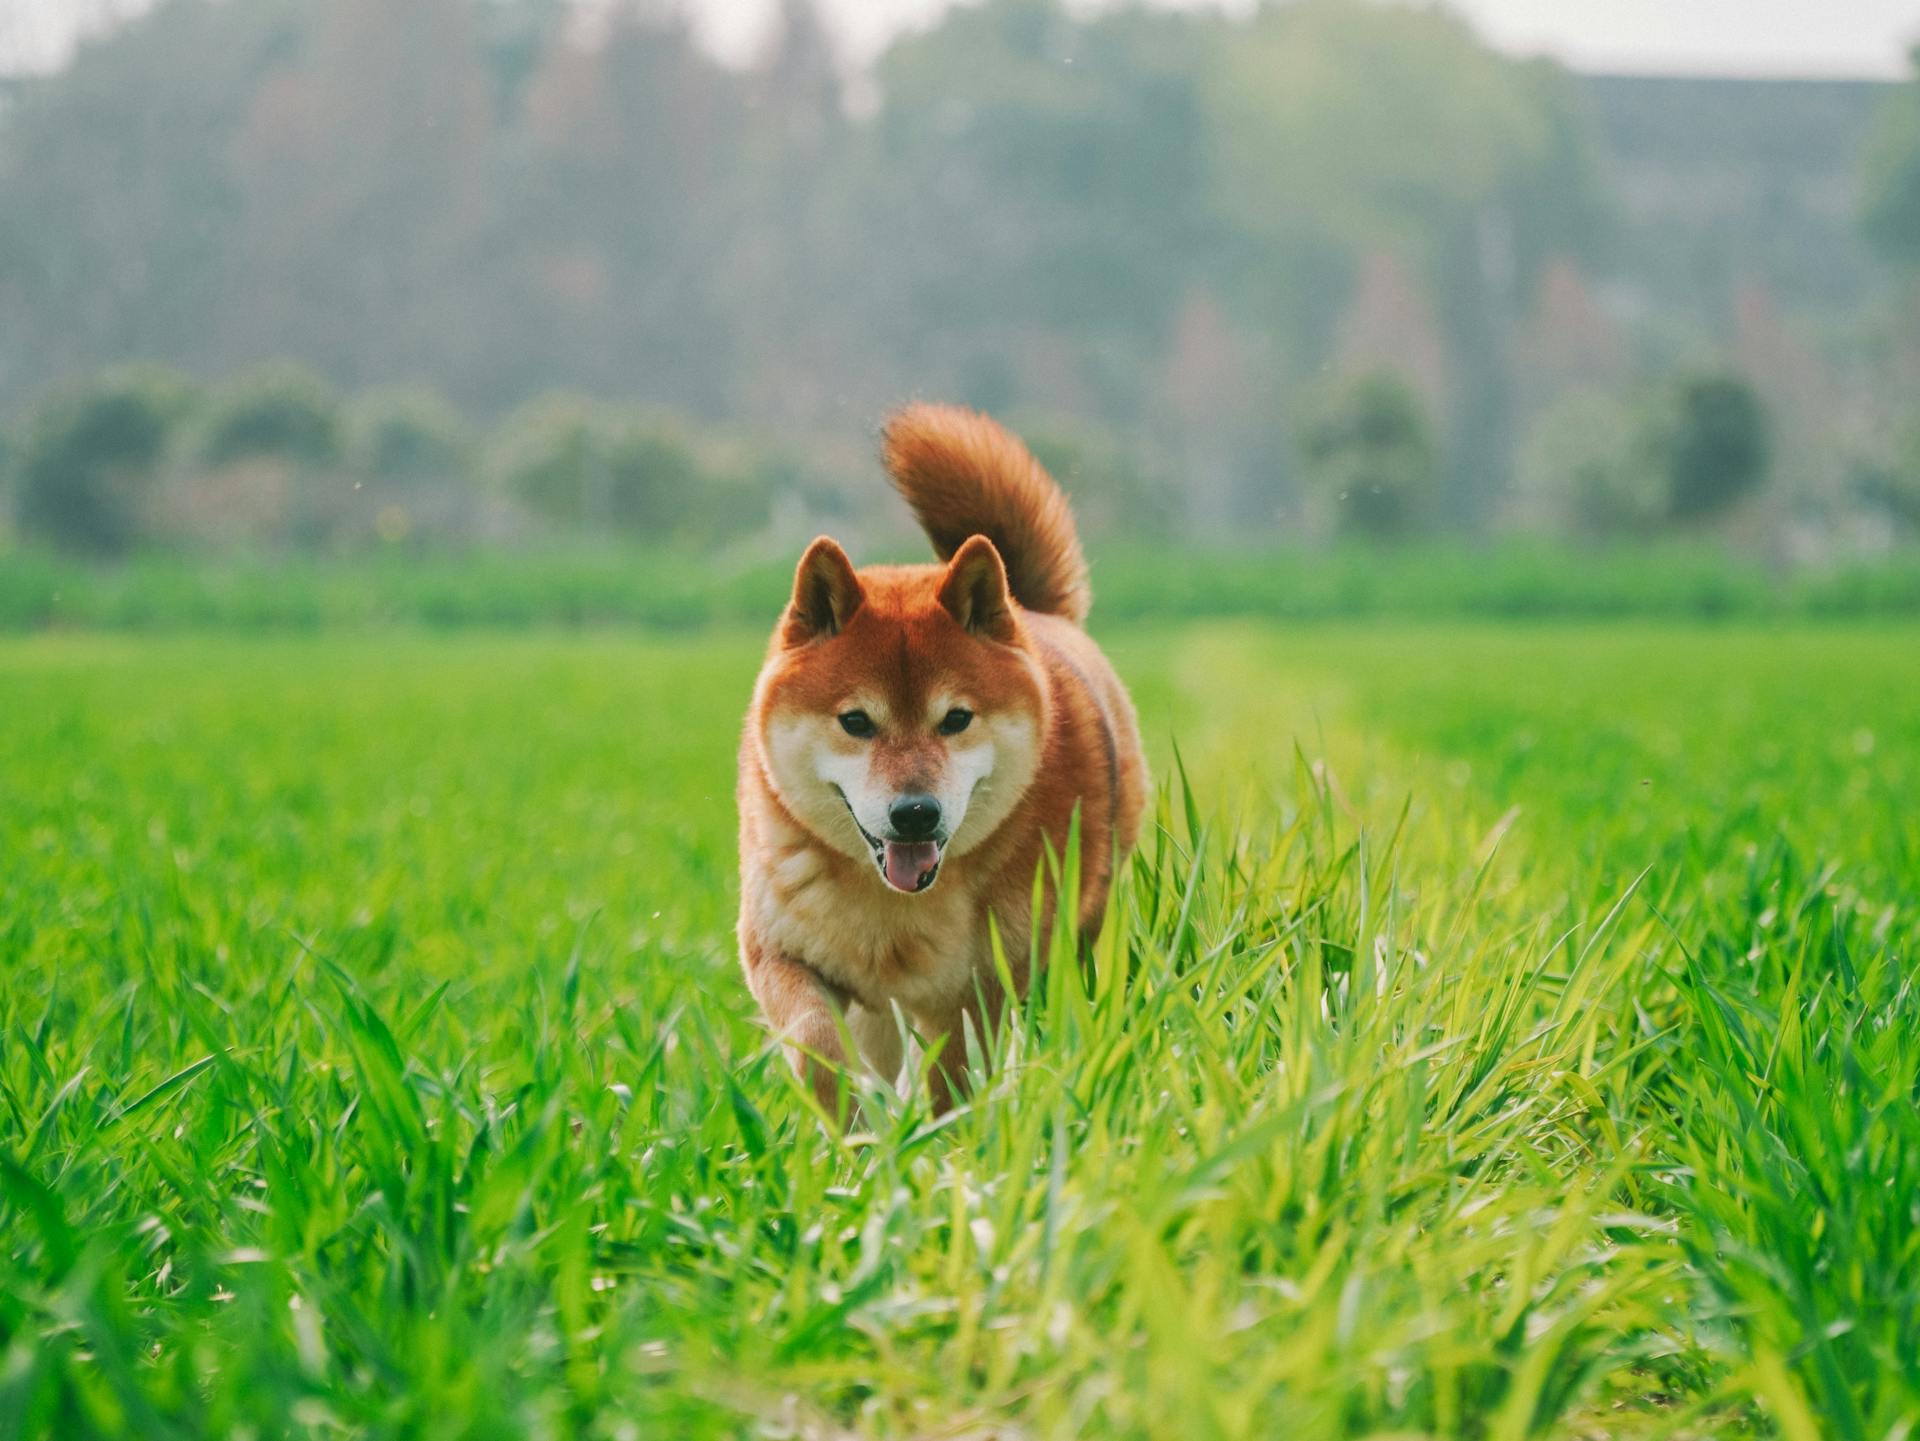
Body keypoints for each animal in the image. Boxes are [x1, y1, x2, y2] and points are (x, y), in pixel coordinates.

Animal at [733, 402, 1136, 1112]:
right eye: (856, 722)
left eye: (955, 720)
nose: (915, 814)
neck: (896, 910)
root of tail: (1035, 611)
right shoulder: (778, 950)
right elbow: (816, 1045)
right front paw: (855, 1132)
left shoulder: (983, 988)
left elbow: (951, 1081)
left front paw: (932, 1137)